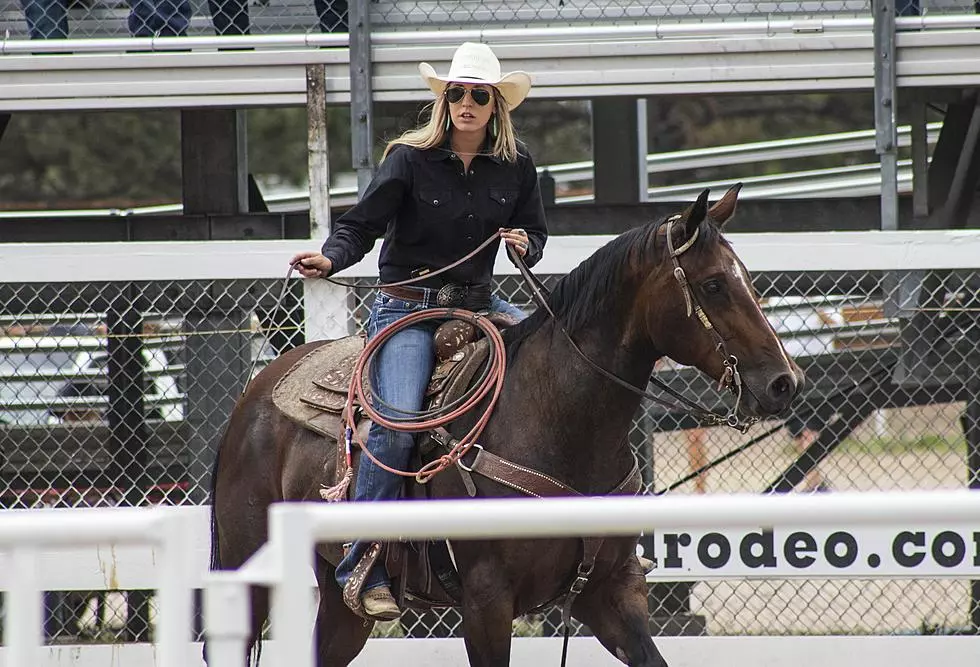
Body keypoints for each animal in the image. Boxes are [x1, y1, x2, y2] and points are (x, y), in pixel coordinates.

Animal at [209, 185, 804, 667]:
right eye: (714, 285)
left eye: (747, 279)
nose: (785, 382)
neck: (556, 423)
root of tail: (257, 390)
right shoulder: (486, 603)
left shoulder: (612, 590)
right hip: (246, 567)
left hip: (341, 603)